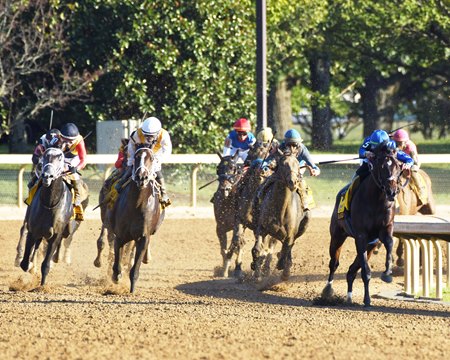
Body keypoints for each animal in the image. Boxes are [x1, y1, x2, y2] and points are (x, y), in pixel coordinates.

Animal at [19, 148, 75, 286]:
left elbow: (46, 264)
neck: (49, 204)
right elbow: (25, 263)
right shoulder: (33, 231)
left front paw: (42, 286)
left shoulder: (55, 235)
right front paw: (30, 266)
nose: (47, 176)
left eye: (60, 158)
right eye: (44, 156)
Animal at [103, 144, 164, 292]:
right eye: (136, 157)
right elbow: (117, 264)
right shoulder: (120, 235)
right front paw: (116, 277)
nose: (141, 176)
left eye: (151, 158)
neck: (136, 205)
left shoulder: (143, 238)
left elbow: (134, 269)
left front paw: (131, 290)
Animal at [250, 151, 310, 282]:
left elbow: (286, 249)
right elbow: (257, 249)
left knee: (289, 248)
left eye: (298, 165)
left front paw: (284, 269)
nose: (293, 182)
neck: (281, 210)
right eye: (283, 164)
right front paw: (256, 271)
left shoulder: (290, 234)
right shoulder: (262, 228)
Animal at [324, 143, 404, 306]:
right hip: (337, 235)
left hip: (371, 245)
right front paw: (367, 299)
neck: (376, 200)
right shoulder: (361, 236)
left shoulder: (384, 231)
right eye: (381, 166)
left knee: (351, 270)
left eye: (398, 167)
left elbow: (389, 243)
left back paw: (349, 296)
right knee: (334, 263)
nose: (392, 192)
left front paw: (387, 273)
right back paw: (328, 290)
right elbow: (366, 271)